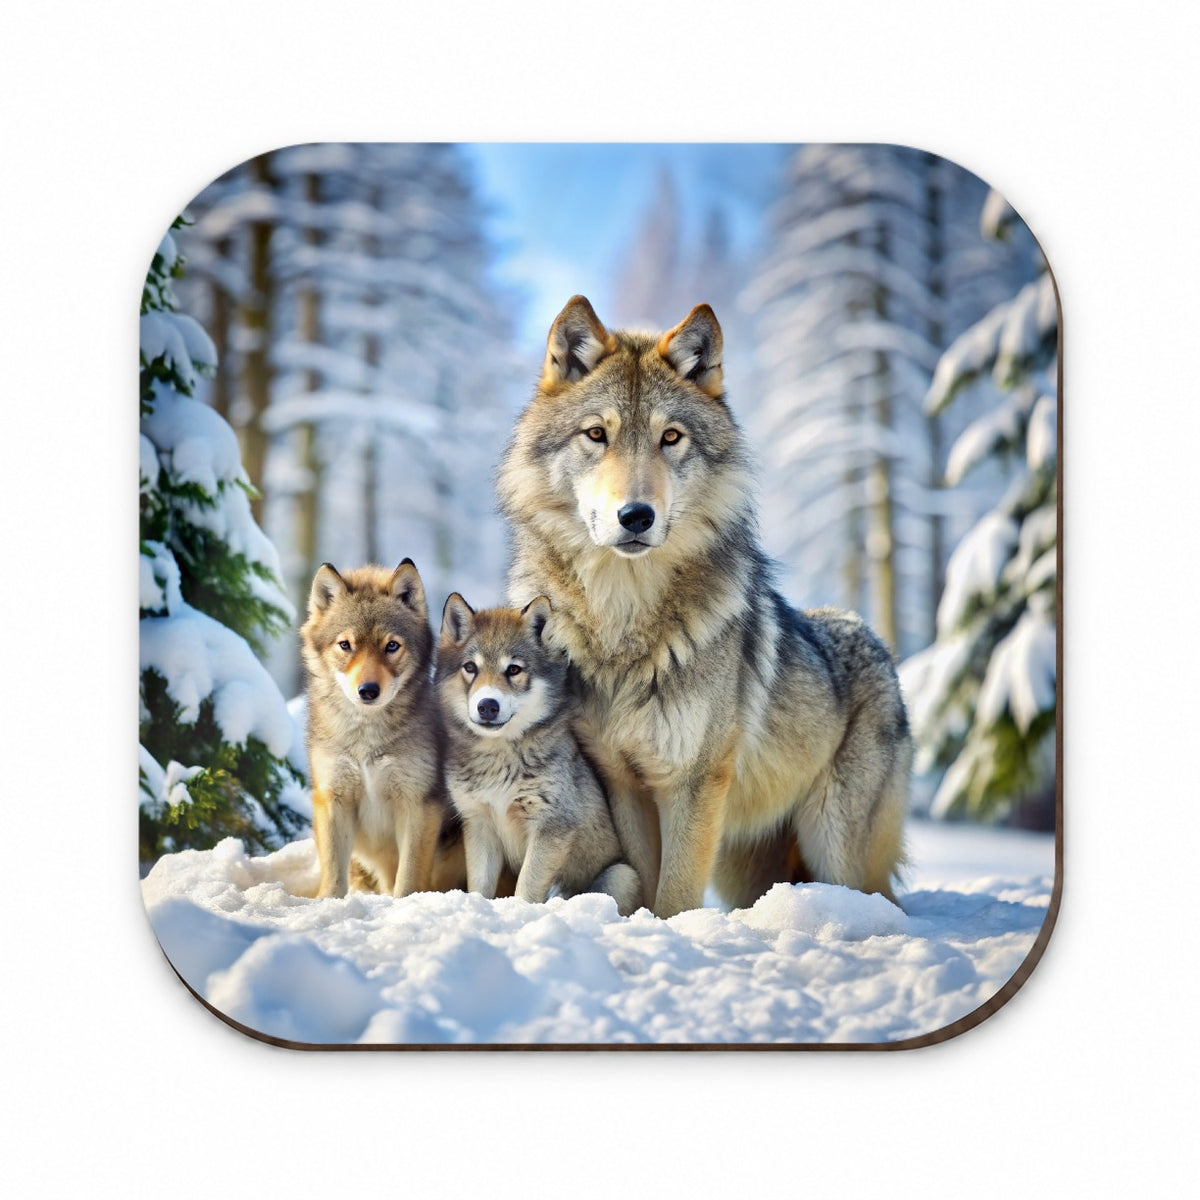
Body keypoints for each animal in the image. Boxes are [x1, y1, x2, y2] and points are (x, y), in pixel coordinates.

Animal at [300, 559, 459, 899]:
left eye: (392, 646)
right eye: (345, 645)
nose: (368, 691)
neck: (365, 739)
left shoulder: (418, 804)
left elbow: (409, 877)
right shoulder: (333, 798)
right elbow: (333, 873)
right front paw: (328, 902)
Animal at [435, 593, 641, 915]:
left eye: (514, 669)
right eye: (470, 667)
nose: (487, 705)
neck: (499, 761)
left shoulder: (551, 826)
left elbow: (527, 888)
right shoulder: (480, 824)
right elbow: (479, 886)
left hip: (622, 875)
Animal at [498, 296, 911, 919]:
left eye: (671, 437)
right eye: (596, 434)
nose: (636, 515)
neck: (625, 620)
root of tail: (873, 639)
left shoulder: (692, 783)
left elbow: (675, 895)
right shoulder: (624, 783)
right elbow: (646, 887)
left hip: (835, 847)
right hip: (749, 865)